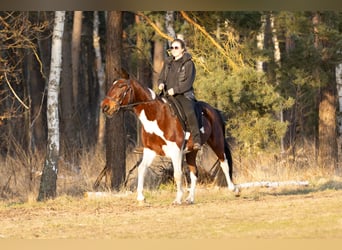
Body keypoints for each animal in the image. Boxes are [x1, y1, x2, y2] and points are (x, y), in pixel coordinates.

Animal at [101, 78, 239, 205]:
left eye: (121, 87)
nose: (105, 107)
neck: (156, 115)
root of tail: (213, 110)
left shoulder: (176, 151)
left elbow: (177, 174)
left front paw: (177, 199)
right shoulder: (150, 151)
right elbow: (141, 169)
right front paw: (141, 197)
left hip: (217, 142)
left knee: (224, 163)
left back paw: (234, 189)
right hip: (191, 151)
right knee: (194, 172)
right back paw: (190, 199)